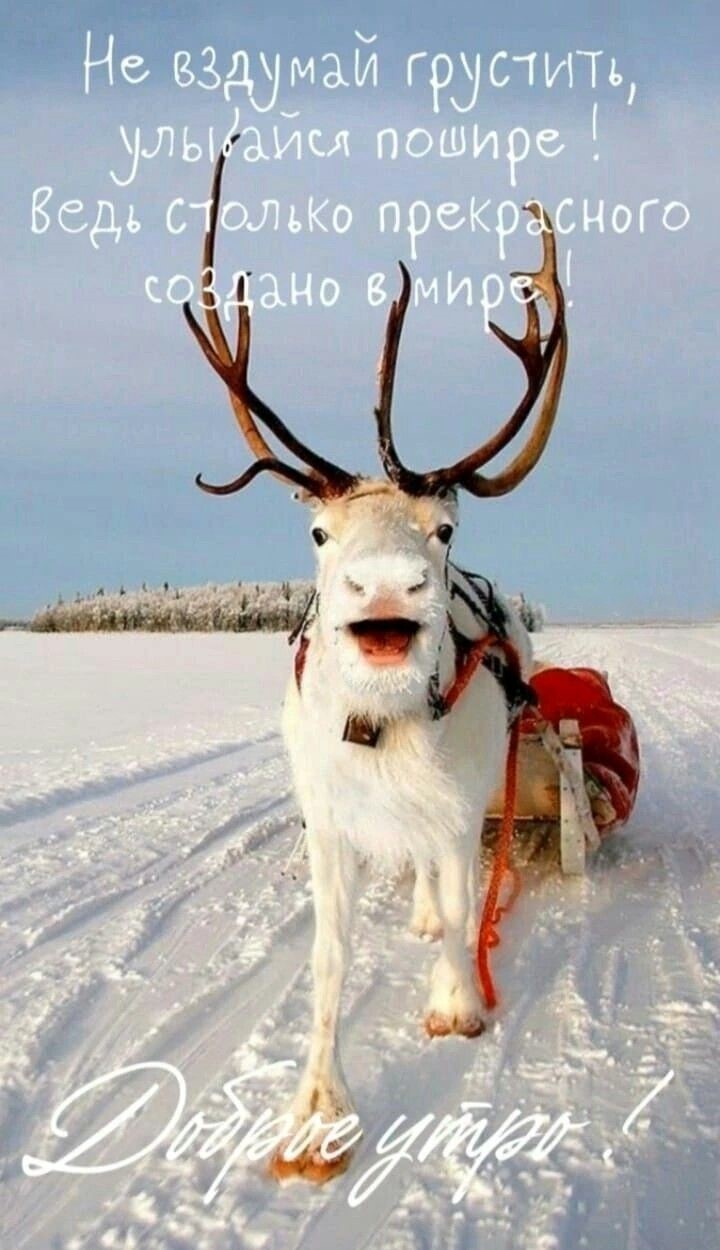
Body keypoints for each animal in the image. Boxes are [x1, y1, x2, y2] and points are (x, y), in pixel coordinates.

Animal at [183, 139, 567, 1184]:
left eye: (444, 526)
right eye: (320, 532)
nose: (388, 586)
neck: (384, 725)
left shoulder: (465, 798)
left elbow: (465, 890)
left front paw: (457, 1003)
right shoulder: (326, 816)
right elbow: (327, 958)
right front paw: (316, 1115)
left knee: (447, 874)